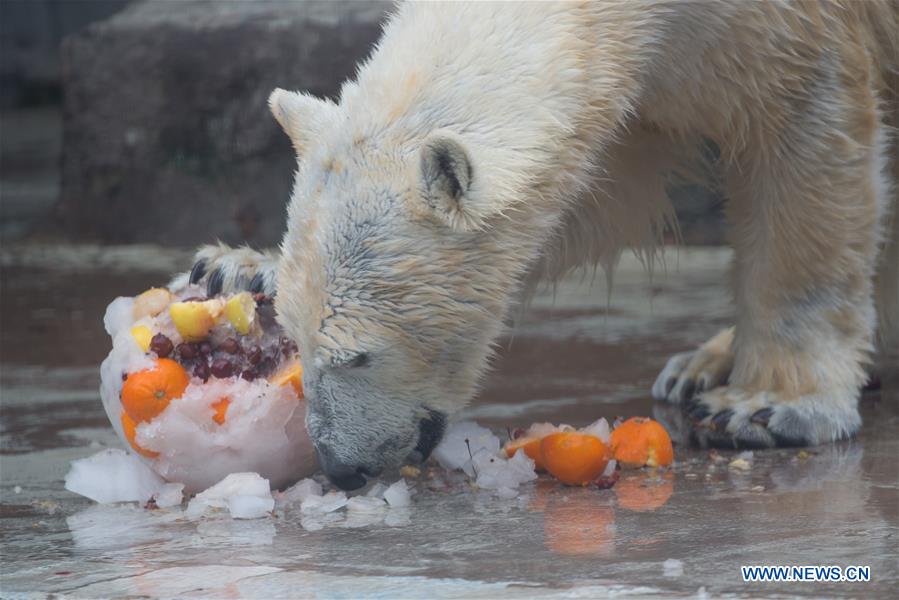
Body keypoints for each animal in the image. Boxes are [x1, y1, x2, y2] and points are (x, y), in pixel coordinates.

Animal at [179, 1, 896, 488]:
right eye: (298, 343)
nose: (340, 465)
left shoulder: (792, 28)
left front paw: (769, 406)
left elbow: (804, 133)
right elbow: (590, 195)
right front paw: (239, 270)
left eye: (358, 355)